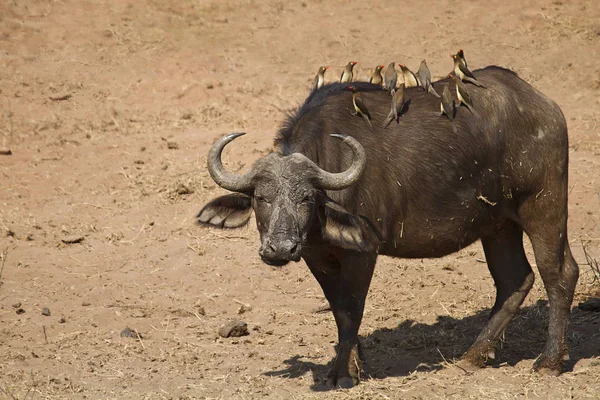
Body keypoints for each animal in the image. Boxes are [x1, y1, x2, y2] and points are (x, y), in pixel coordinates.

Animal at [197, 67, 576, 390]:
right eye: (261, 198)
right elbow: (338, 309)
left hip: (544, 205)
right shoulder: (316, 257)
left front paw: (345, 373)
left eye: (306, 198)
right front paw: (352, 360)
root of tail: (545, 106)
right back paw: (473, 356)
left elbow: (352, 308)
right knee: (515, 280)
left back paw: (549, 362)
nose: (279, 249)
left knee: (559, 273)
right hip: (498, 225)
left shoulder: (363, 253)